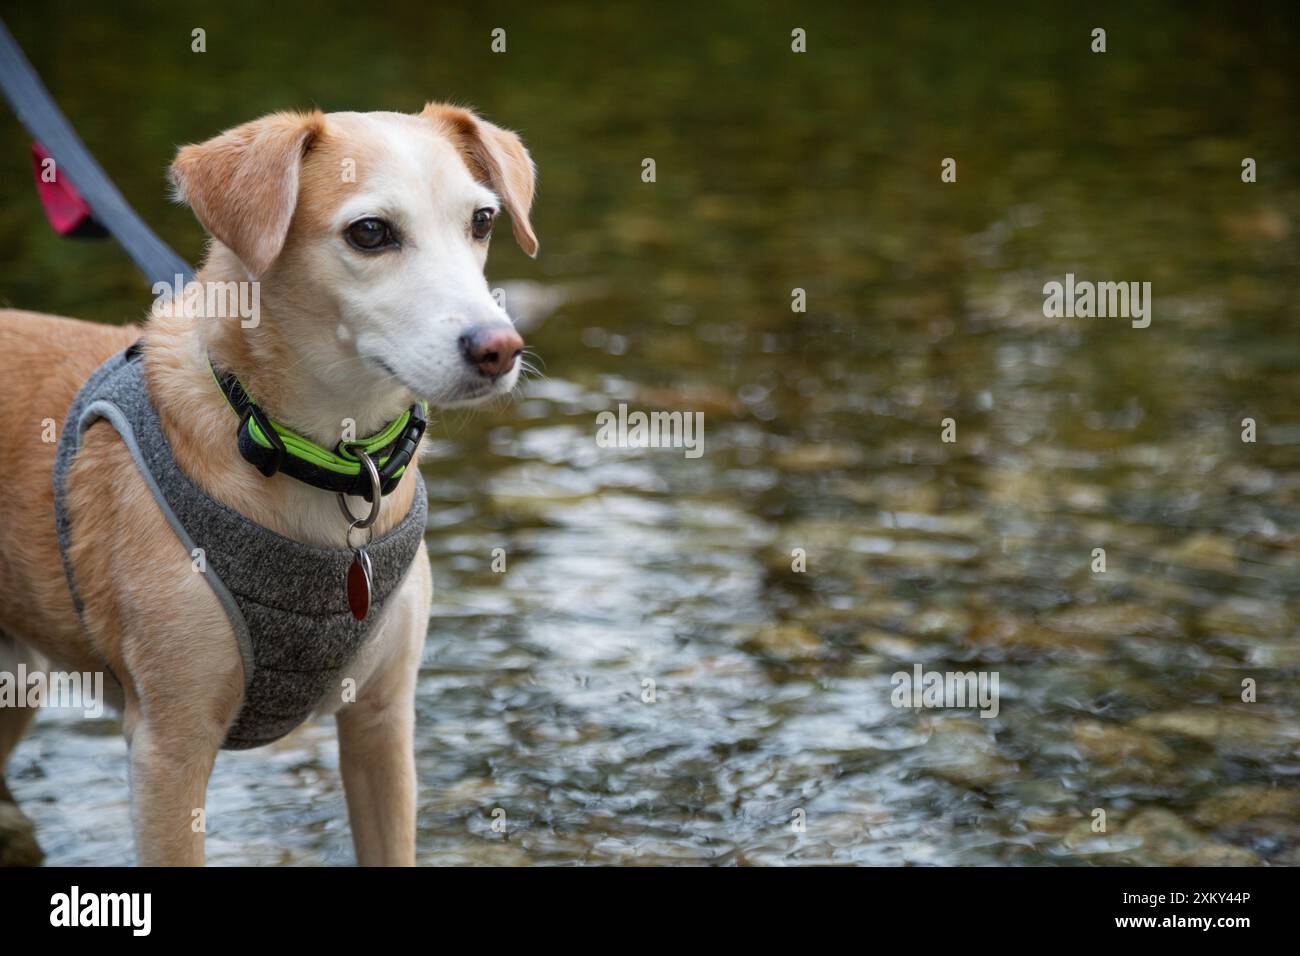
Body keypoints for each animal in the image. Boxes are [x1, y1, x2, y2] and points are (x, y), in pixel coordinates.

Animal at [0, 102, 538, 868]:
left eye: (483, 220)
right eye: (370, 232)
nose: (499, 348)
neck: (319, 459)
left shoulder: (382, 723)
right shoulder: (168, 751)